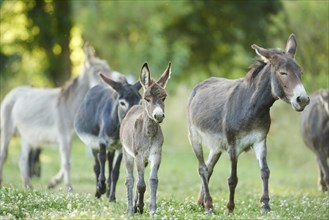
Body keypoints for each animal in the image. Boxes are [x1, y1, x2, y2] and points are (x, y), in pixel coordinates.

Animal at [120, 62, 172, 217]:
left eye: (164, 98)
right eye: (147, 99)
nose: (158, 116)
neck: (149, 133)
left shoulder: (156, 154)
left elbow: (153, 180)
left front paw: (151, 209)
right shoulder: (139, 155)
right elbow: (141, 185)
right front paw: (140, 206)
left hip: (145, 160)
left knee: (138, 178)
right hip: (128, 154)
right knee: (130, 180)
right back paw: (131, 209)